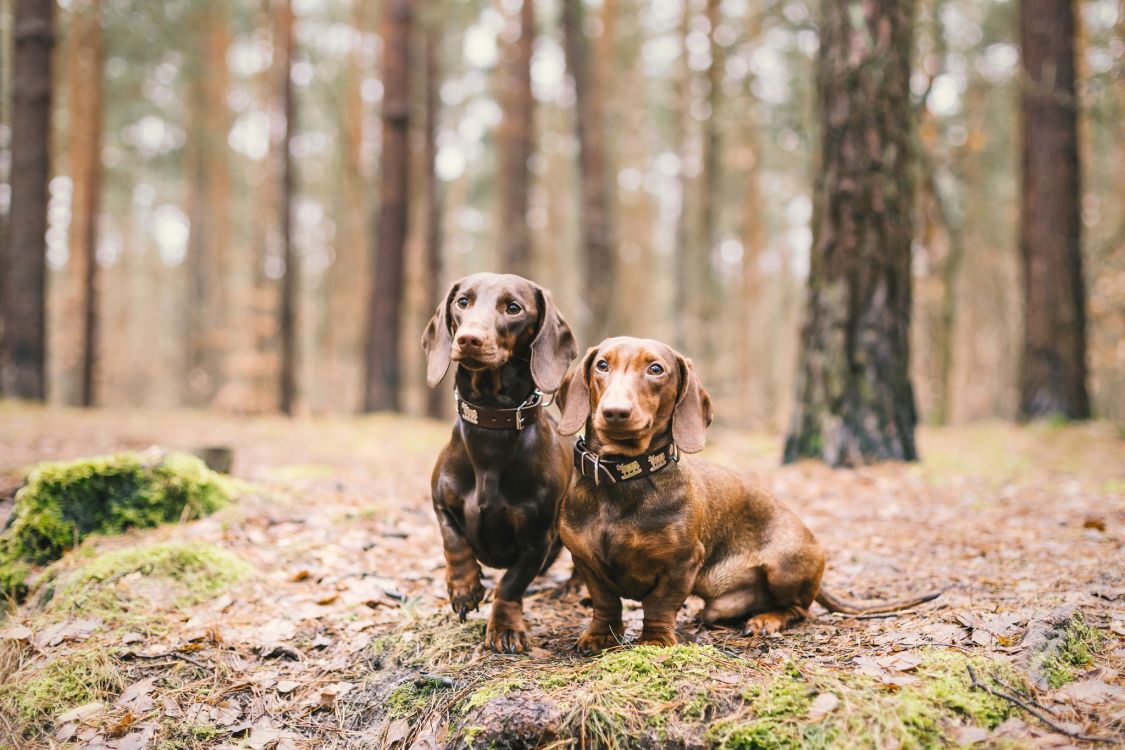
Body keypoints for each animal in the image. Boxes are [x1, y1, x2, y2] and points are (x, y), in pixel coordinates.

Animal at [423, 270, 580, 652]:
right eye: (462, 302)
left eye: (513, 308)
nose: (468, 339)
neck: (491, 423)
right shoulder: (440, 501)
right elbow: (453, 542)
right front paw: (463, 588)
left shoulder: (538, 538)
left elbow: (511, 584)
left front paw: (506, 627)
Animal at [555, 337, 940, 652]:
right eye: (602, 365)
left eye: (656, 369)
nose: (615, 412)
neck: (621, 478)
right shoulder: (585, 562)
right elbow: (606, 603)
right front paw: (600, 636)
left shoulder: (683, 563)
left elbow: (660, 604)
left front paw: (655, 641)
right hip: (719, 604)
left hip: (784, 567)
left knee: (799, 608)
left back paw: (766, 620)